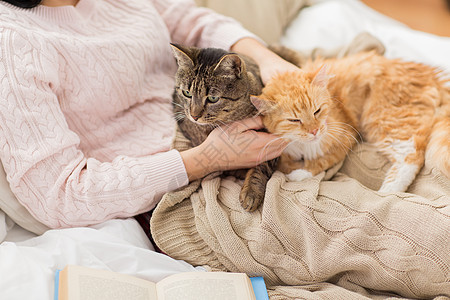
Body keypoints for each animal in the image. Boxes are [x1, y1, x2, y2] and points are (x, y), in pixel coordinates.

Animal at [251, 50, 448, 192]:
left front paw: (298, 174)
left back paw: (387, 192)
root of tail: (431, 75)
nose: (314, 131)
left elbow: (321, 162)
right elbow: (284, 164)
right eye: (294, 120)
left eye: (317, 111)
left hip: (381, 118)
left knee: (411, 156)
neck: (302, 145)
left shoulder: (345, 138)